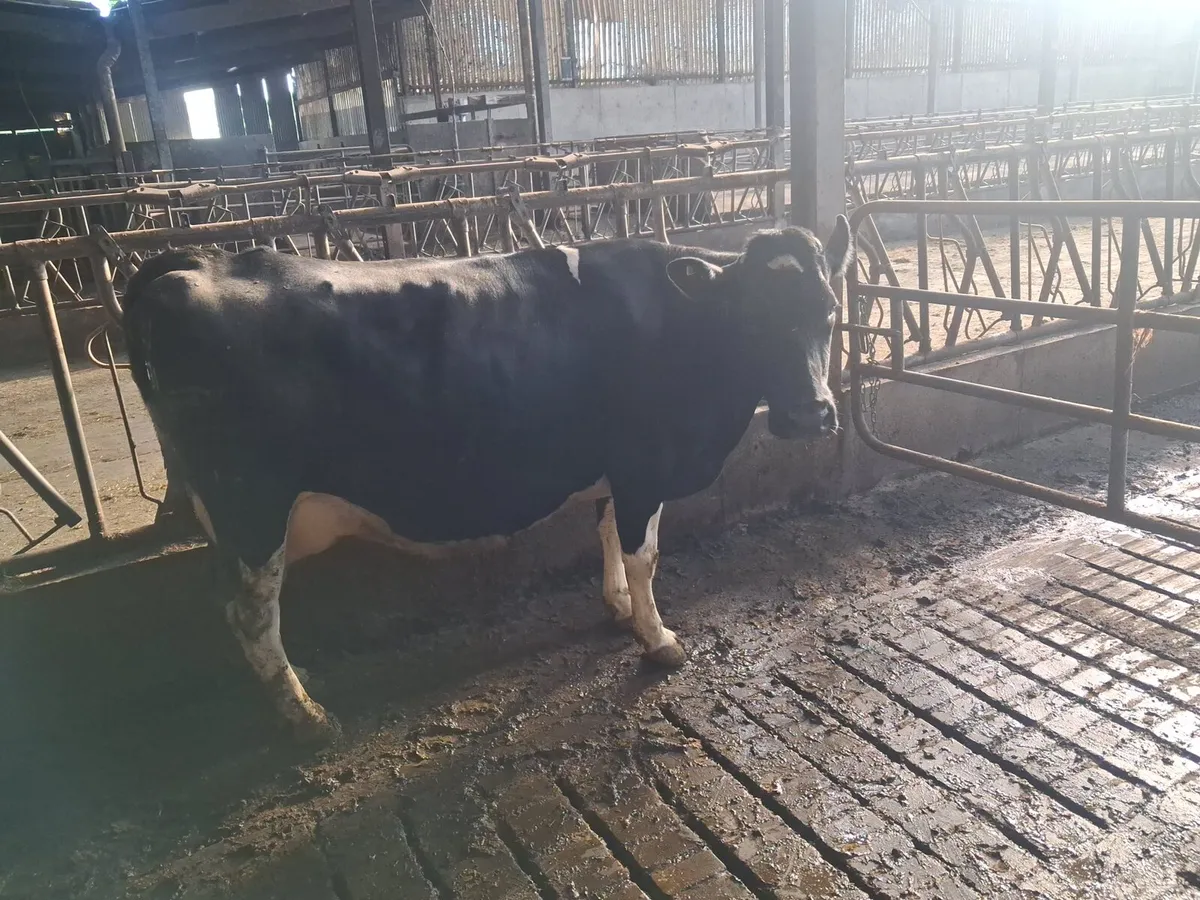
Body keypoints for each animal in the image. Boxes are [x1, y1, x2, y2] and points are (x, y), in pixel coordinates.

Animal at [120, 217, 853, 743]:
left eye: (828, 311)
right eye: (753, 318)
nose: (812, 413)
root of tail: (196, 263)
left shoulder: (615, 466)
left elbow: (608, 533)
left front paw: (617, 607)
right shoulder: (645, 463)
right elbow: (644, 553)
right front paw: (658, 640)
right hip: (250, 501)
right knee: (251, 610)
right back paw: (308, 717)